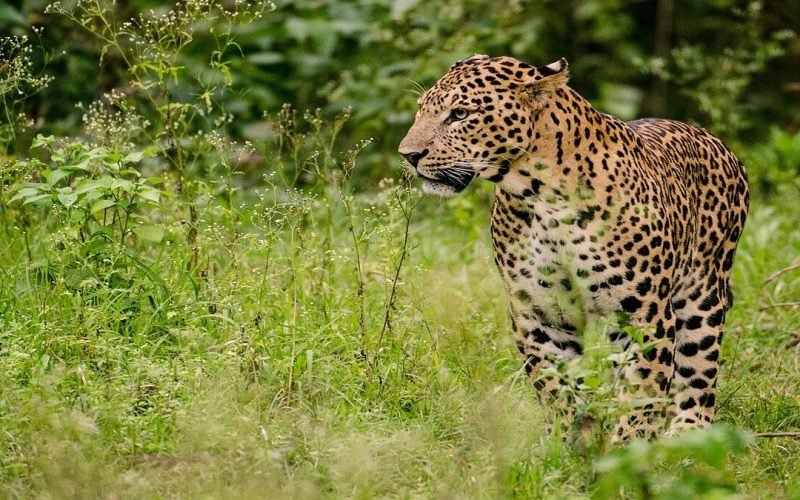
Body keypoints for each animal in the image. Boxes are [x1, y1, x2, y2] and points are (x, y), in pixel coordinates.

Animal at [398, 55, 749, 439]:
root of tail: (718, 143)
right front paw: (569, 441)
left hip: (701, 297)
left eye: (460, 114)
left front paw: (627, 447)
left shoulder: (644, 314)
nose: (408, 155)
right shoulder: (539, 312)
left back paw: (687, 433)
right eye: (421, 109)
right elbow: (556, 386)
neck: (541, 198)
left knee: (699, 374)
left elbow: (641, 393)